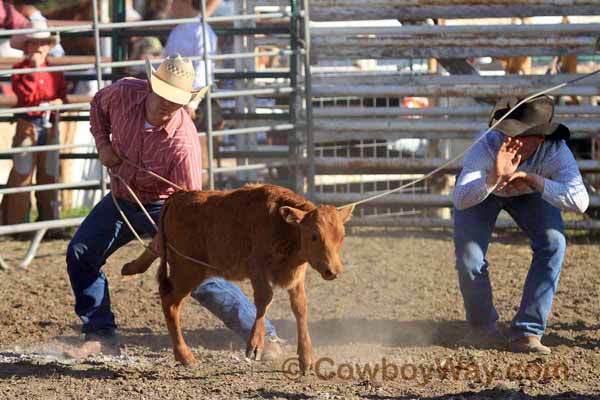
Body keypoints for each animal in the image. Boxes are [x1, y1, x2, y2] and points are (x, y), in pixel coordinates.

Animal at [120, 184, 352, 372]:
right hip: (187, 270)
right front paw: (255, 344)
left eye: (342, 236)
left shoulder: (295, 275)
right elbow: (264, 299)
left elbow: (300, 307)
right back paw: (185, 356)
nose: (333, 271)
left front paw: (306, 357)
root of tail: (178, 197)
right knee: (170, 303)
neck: (281, 226)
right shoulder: (257, 269)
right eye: (314, 236)